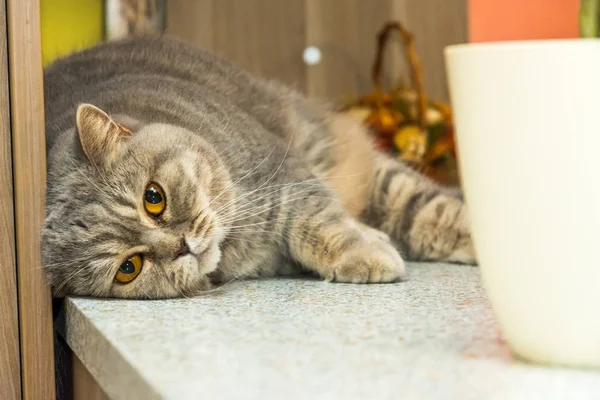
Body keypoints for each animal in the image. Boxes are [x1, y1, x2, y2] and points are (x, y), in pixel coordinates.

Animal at [41, 36, 474, 300]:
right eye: (128, 268)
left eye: (154, 198)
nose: (181, 246)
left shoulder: (286, 179)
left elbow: (317, 225)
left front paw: (365, 254)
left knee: (432, 211)